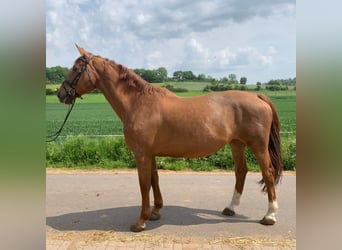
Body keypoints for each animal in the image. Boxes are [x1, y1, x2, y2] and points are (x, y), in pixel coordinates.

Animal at [57, 44, 282, 232]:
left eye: (76, 69)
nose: (60, 94)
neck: (137, 102)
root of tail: (257, 96)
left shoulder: (141, 154)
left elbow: (144, 184)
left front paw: (140, 221)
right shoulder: (150, 154)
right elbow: (154, 179)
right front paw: (156, 212)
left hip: (258, 146)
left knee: (268, 173)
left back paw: (270, 216)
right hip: (237, 144)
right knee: (241, 171)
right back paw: (230, 208)